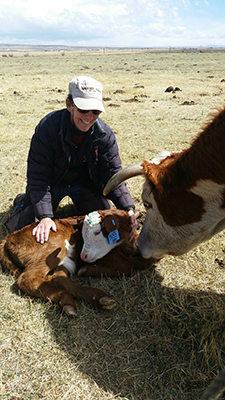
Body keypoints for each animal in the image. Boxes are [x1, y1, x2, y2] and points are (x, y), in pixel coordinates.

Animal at [0, 209, 149, 316]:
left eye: (97, 232)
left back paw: (74, 301)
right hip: (53, 248)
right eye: (83, 234)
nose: (83, 257)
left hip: (64, 259)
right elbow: (127, 265)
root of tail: (9, 237)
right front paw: (88, 269)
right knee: (28, 279)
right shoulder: (105, 254)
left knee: (58, 278)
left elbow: (146, 259)